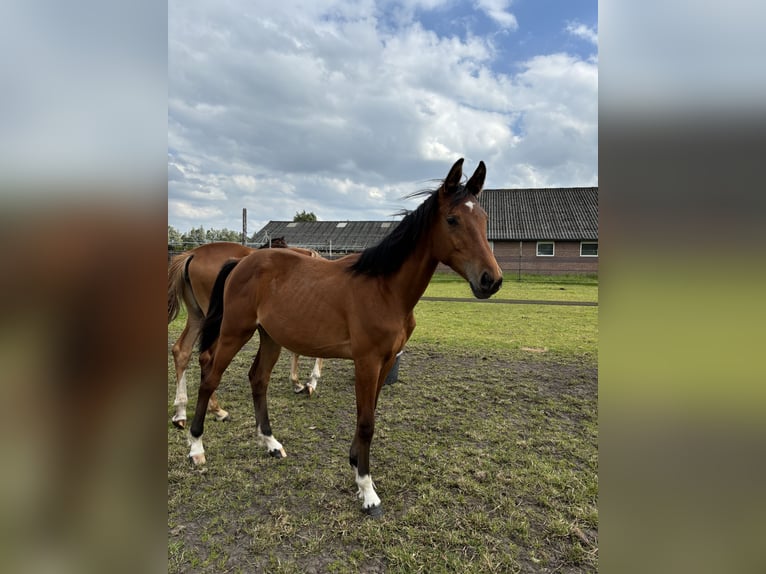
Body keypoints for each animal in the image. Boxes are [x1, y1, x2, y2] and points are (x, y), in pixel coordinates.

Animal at [166, 241, 326, 430]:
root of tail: (192, 254)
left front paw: (297, 382)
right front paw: (311, 382)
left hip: (198, 317)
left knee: (181, 351)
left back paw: (180, 412)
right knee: (206, 358)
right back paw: (216, 410)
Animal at [190, 159, 504, 516]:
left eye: (483, 219)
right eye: (452, 219)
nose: (491, 280)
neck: (385, 288)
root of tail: (241, 261)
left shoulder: (385, 362)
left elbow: (369, 415)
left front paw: (355, 465)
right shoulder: (367, 362)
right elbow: (366, 422)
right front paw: (367, 491)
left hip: (269, 337)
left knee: (258, 379)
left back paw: (270, 443)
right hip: (234, 331)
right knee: (209, 377)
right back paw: (196, 447)